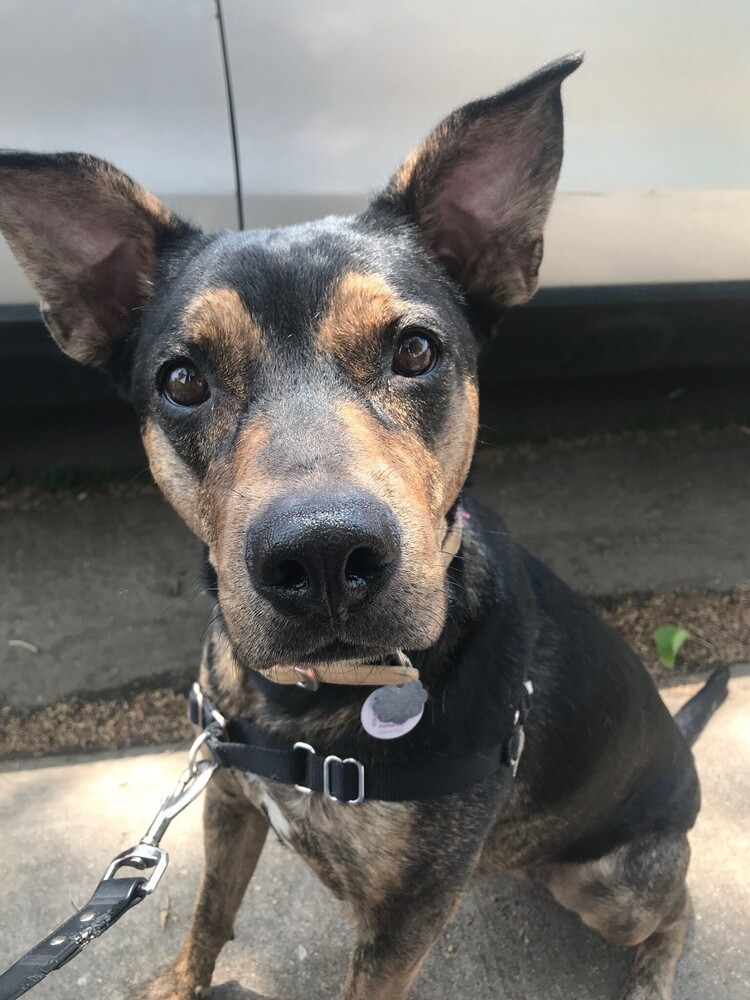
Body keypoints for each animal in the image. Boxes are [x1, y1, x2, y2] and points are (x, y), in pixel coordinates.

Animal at [0, 56, 728, 1000]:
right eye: (183, 379)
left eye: (415, 350)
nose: (321, 557)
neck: (314, 700)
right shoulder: (228, 798)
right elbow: (209, 912)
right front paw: (182, 981)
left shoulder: (404, 917)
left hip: (614, 880)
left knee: (674, 911)